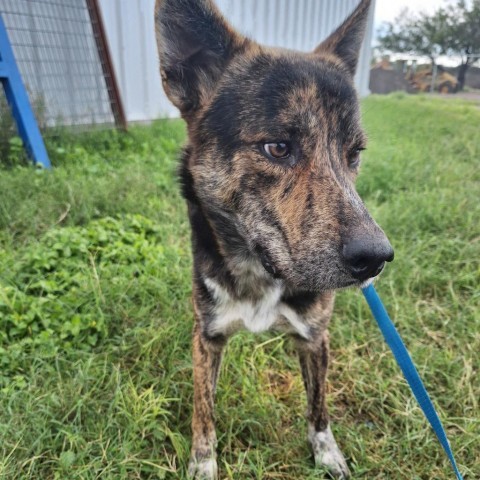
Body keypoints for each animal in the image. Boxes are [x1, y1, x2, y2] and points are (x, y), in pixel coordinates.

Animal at [156, 1, 392, 478]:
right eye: (278, 147)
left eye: (354, 154)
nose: (376, 258)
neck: (259, 268)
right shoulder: (206, 335)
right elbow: (203, 411)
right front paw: (203, 462)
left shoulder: (315, 338)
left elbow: (319, 407)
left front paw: (327, 453)